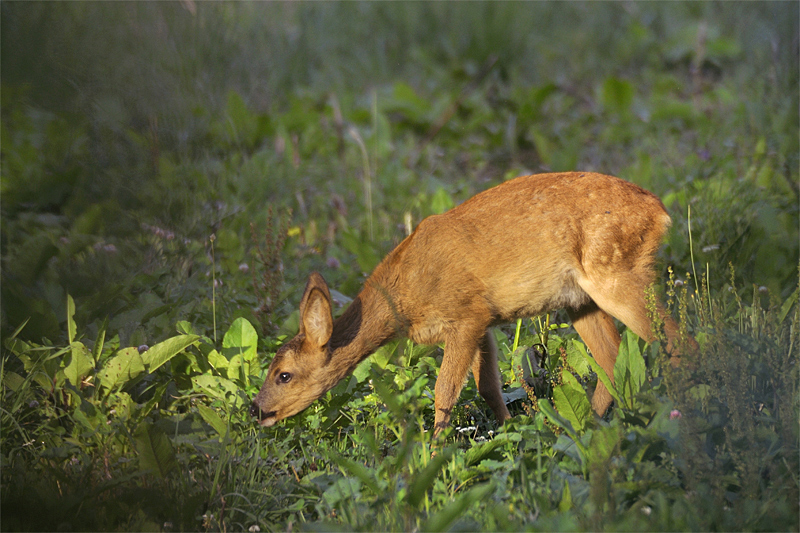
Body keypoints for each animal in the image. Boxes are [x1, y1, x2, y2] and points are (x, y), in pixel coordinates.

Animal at [253, 172, 692, 434]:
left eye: (284, 375)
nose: (256, 410)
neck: (404, 297)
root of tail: (660, 211)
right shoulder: (484, 320)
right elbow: (488, 386)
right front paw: (511, 429)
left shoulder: (465, 315)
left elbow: (445, 391)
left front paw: (434, 450)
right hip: (581, 300)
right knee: (614, 358)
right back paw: (584, 428)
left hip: (618, 274)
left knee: (677, 343)